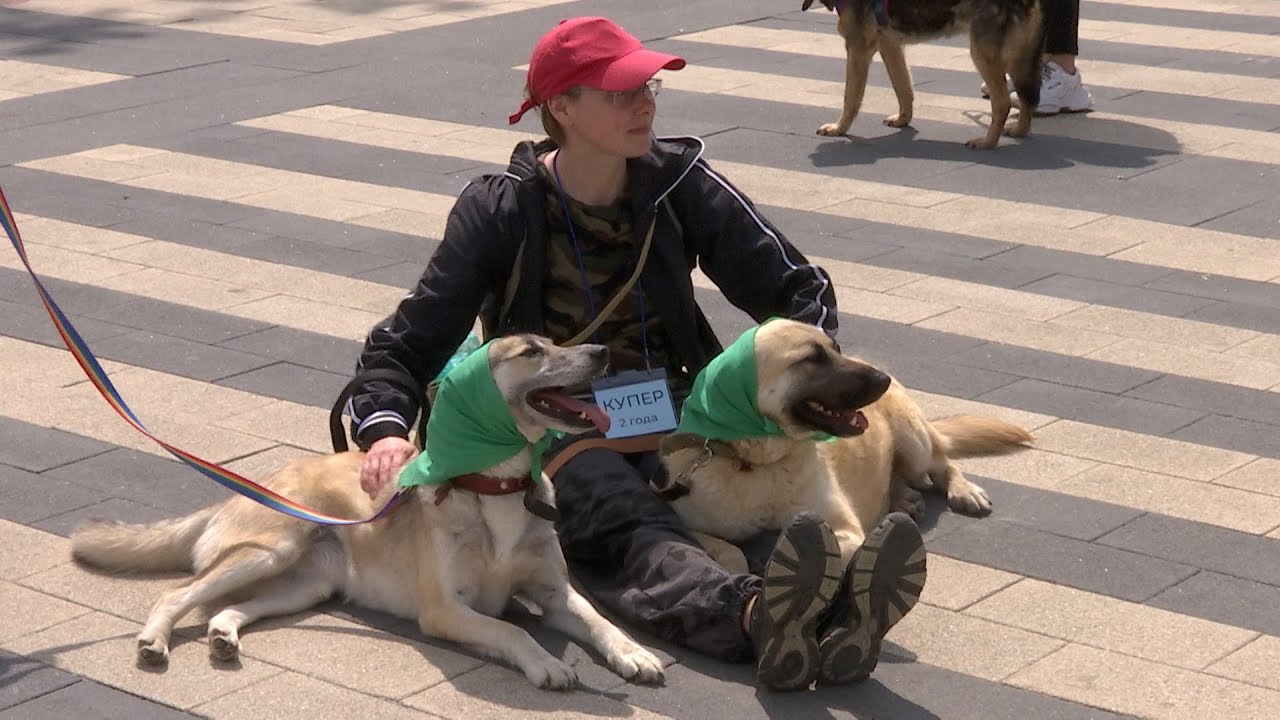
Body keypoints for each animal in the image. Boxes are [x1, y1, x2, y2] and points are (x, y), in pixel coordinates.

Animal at [71, 335, 665, 691]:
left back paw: (222, 637)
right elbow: (512, 632)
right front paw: (547, 662)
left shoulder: (555, 593)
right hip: (270, 550)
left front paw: (634, 652)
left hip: (307, 583)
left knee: (226, 610)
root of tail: (253, 486)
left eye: (557, 341)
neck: (494, 485)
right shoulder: (445, 610)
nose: (604, 350)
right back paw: (154, 641)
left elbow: (599, 621)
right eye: (533, 350)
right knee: (177, 594)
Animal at [660, 316, 1029, 568]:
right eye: (810, 358)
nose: (882, 379)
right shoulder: (686, 523)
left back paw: (963, 490)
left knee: (942, 463)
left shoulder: (845, 530)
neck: (757, 463)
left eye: (836, 348)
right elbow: (730, 550)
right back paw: (903, 498)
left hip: (915, 442)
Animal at [803, 0, 1044, 147]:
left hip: (983, 54)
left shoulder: (858, 49)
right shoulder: (890, 46)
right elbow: (903, 88)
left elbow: (850, 98)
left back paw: (987, 143)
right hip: (1017, 59)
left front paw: (839, 128)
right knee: (1028, 97)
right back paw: (1019, 130)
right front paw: (903, 119)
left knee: (1003, 102)